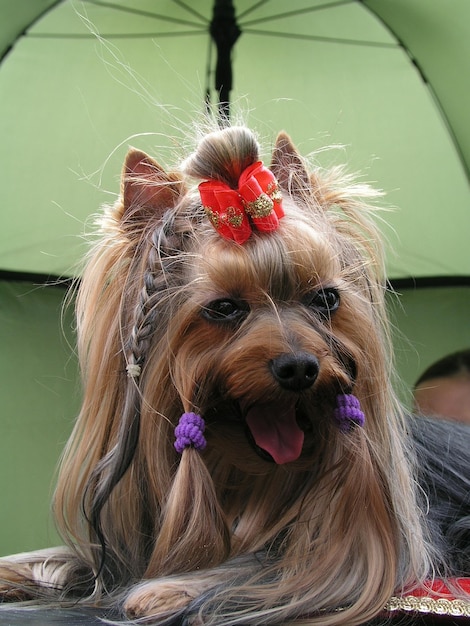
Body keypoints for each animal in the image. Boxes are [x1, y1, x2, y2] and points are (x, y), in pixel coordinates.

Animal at [0, 124, 470, 620]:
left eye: (325, 298)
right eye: (224, 308)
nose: (299, 368)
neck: (243, 481)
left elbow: (277, 566)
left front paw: (169, 589)